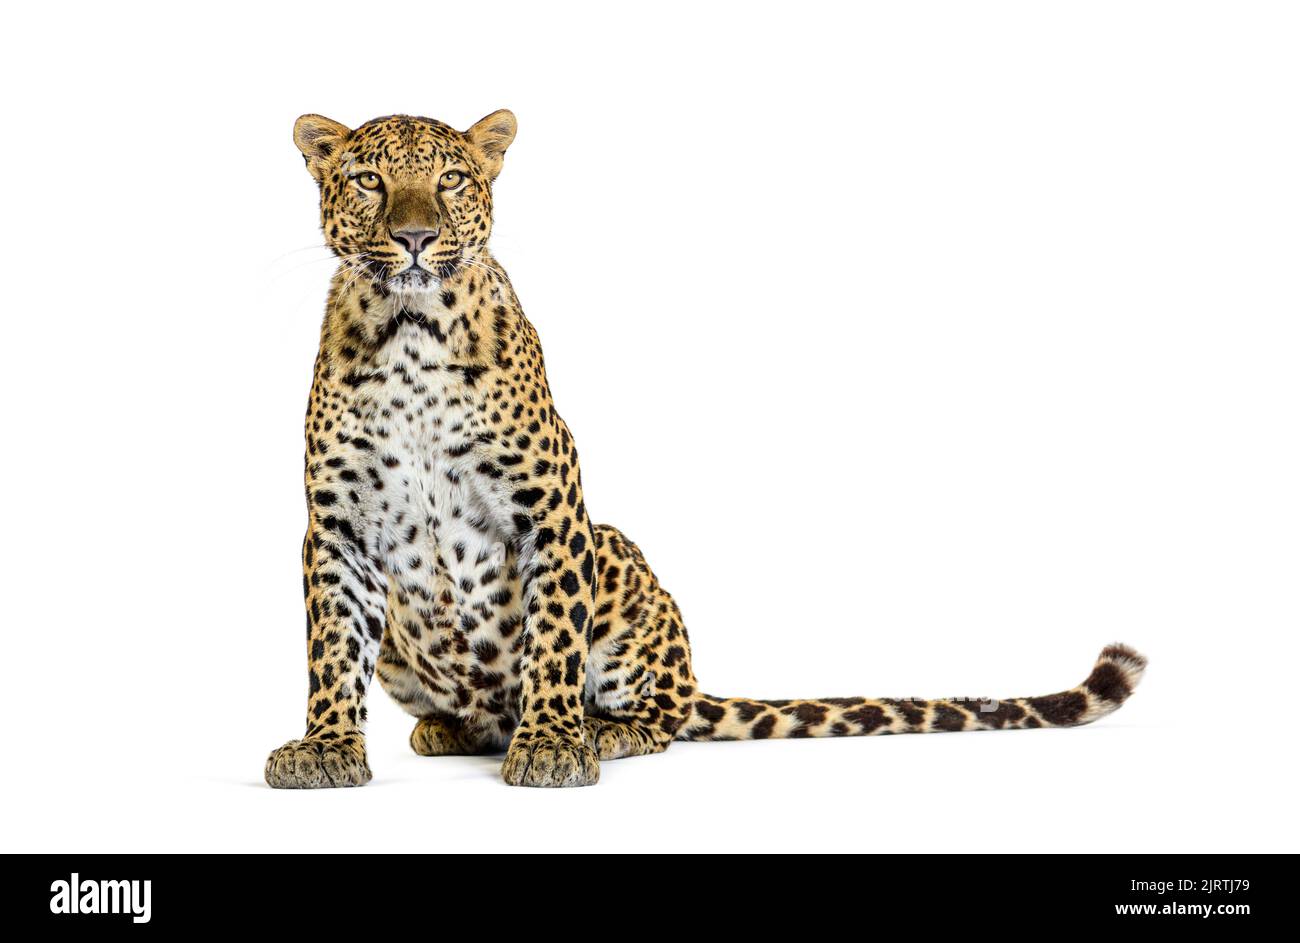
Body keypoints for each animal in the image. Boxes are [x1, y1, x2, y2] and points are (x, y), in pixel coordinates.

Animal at [264, 110, 1148, 789]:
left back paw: (596, 727)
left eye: (450, 179)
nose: (416, 236)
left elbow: (552, 638)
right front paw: (326, 746)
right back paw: (449, 729)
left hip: (619, 558)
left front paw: (551, 744)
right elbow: (330, 648)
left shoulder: (550, 509)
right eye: (368, 180)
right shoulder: (336, 527)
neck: (410, 335)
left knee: (661, 710)